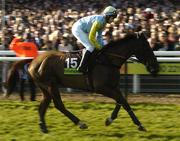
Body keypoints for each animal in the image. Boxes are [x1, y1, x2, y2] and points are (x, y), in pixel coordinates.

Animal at [27, 32, 159, 133]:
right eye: (147, 47)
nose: (156, 68)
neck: (108, 60)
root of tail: (34, 62)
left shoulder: (113, 86)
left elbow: (120, 101)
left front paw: (110, 119)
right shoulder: (101, 88)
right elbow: (123, 101)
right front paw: (139, 124)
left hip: (45, 87)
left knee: (43, 106)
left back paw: (43, 127)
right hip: (51, 85)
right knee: (59, 105)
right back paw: (80, 123)